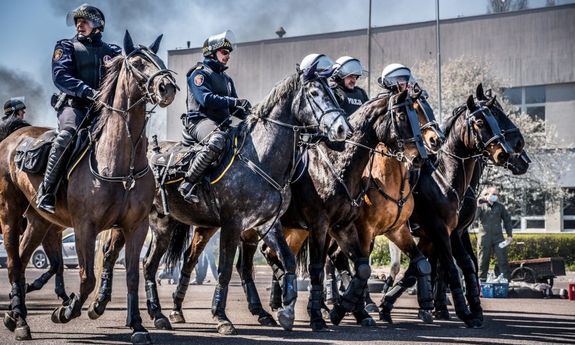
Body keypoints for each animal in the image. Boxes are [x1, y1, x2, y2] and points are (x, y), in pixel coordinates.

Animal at [0, 30, 177, 342]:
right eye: (137, 63)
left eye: (158, 60)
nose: (167, 87)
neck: (121, 163)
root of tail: (13, 138)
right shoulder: (85, 226)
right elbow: (86, 278)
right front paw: (65, 310)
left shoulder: (136, 226)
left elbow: (131, 275)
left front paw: (138, 325)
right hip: (10, 215)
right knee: (12, 263)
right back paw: (21, 320)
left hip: (39, 222)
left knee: (20, 262)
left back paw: (15, 315)